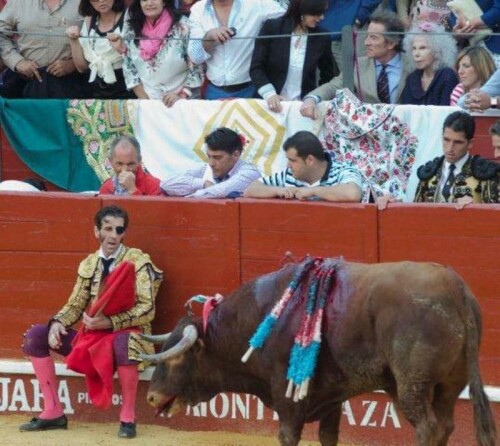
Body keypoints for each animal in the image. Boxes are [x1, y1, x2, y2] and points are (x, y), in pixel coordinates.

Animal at [141, 258, 497, 446]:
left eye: (176, 358)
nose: (151, 397)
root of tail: (456, 288)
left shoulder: (287, 402)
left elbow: (288, 435)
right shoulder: (332, 399)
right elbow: (328, 436)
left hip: (413, 386)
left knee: (428, 428)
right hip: (449, 386)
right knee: (445, 425)